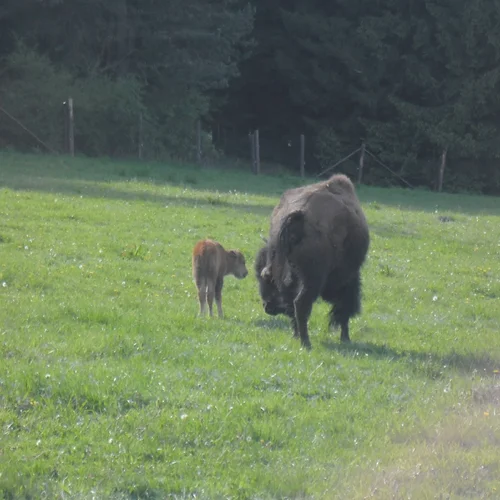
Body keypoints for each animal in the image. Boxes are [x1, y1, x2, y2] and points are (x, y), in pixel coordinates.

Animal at [256, 174, 370, 350]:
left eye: (266, 279)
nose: (267, 307)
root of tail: (298, 217)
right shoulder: (350, 279)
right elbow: (344, 309)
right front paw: (345, 338)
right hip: (313, 279)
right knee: (301, 304)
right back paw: (306, 343)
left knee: (293, 305)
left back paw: (298, 337)